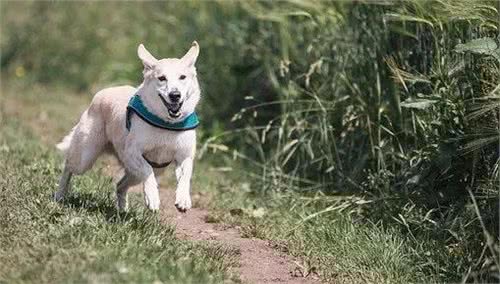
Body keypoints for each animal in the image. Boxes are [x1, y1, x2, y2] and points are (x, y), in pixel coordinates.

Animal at [55, 41, 201, 211]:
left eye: (182, 77)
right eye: (162, 78)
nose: (175, 95)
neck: (167, 124)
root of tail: (101, 93)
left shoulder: (185, 156)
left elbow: (186, 176)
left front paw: (183, 199)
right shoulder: (132, 152)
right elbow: (147, 170)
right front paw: (152, 198)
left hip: (144, 171)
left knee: (120, 185)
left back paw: (123, 210)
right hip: (85, 156)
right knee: (68, 166)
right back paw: (59, 195)